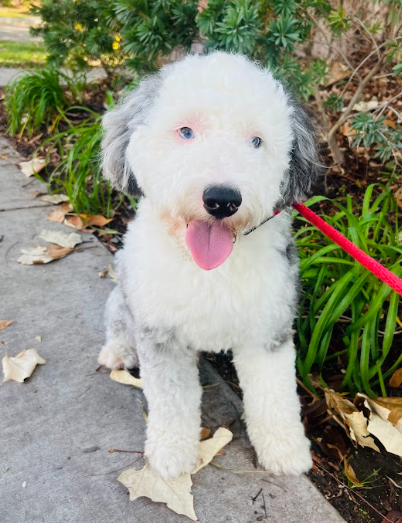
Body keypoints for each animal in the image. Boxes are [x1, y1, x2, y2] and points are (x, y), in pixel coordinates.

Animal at [98, 51, 320, 482]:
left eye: (256, 141)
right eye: (186, 131)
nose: (222, 199)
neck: (210, 270)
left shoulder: (267, 328)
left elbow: (274, 395)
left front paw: (285, 450)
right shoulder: (160, 333)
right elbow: (171, 401)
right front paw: (170, 454)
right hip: (124, 296)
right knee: (116, 322)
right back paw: (117, 351)